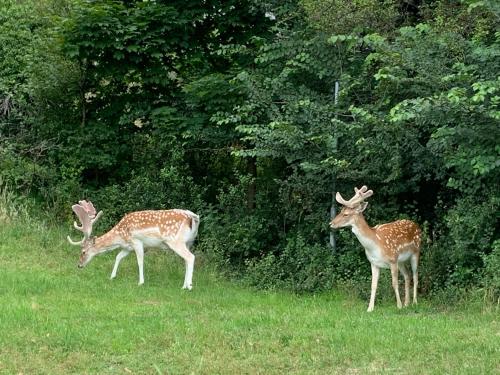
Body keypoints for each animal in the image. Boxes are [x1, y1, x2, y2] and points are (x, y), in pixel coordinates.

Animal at [67, 201, 199, 290]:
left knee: (190, 257)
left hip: (175, 241)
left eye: (83, 251)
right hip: (188, 242)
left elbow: (140, 261)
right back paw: (184, 285)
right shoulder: (128, 247)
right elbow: (118, 257)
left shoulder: (137, 242)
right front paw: (112, 276)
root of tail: (193, 218)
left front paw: (140, 282)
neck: (121, 236)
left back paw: (189, 286)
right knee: (186, 260)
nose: (79, 265)